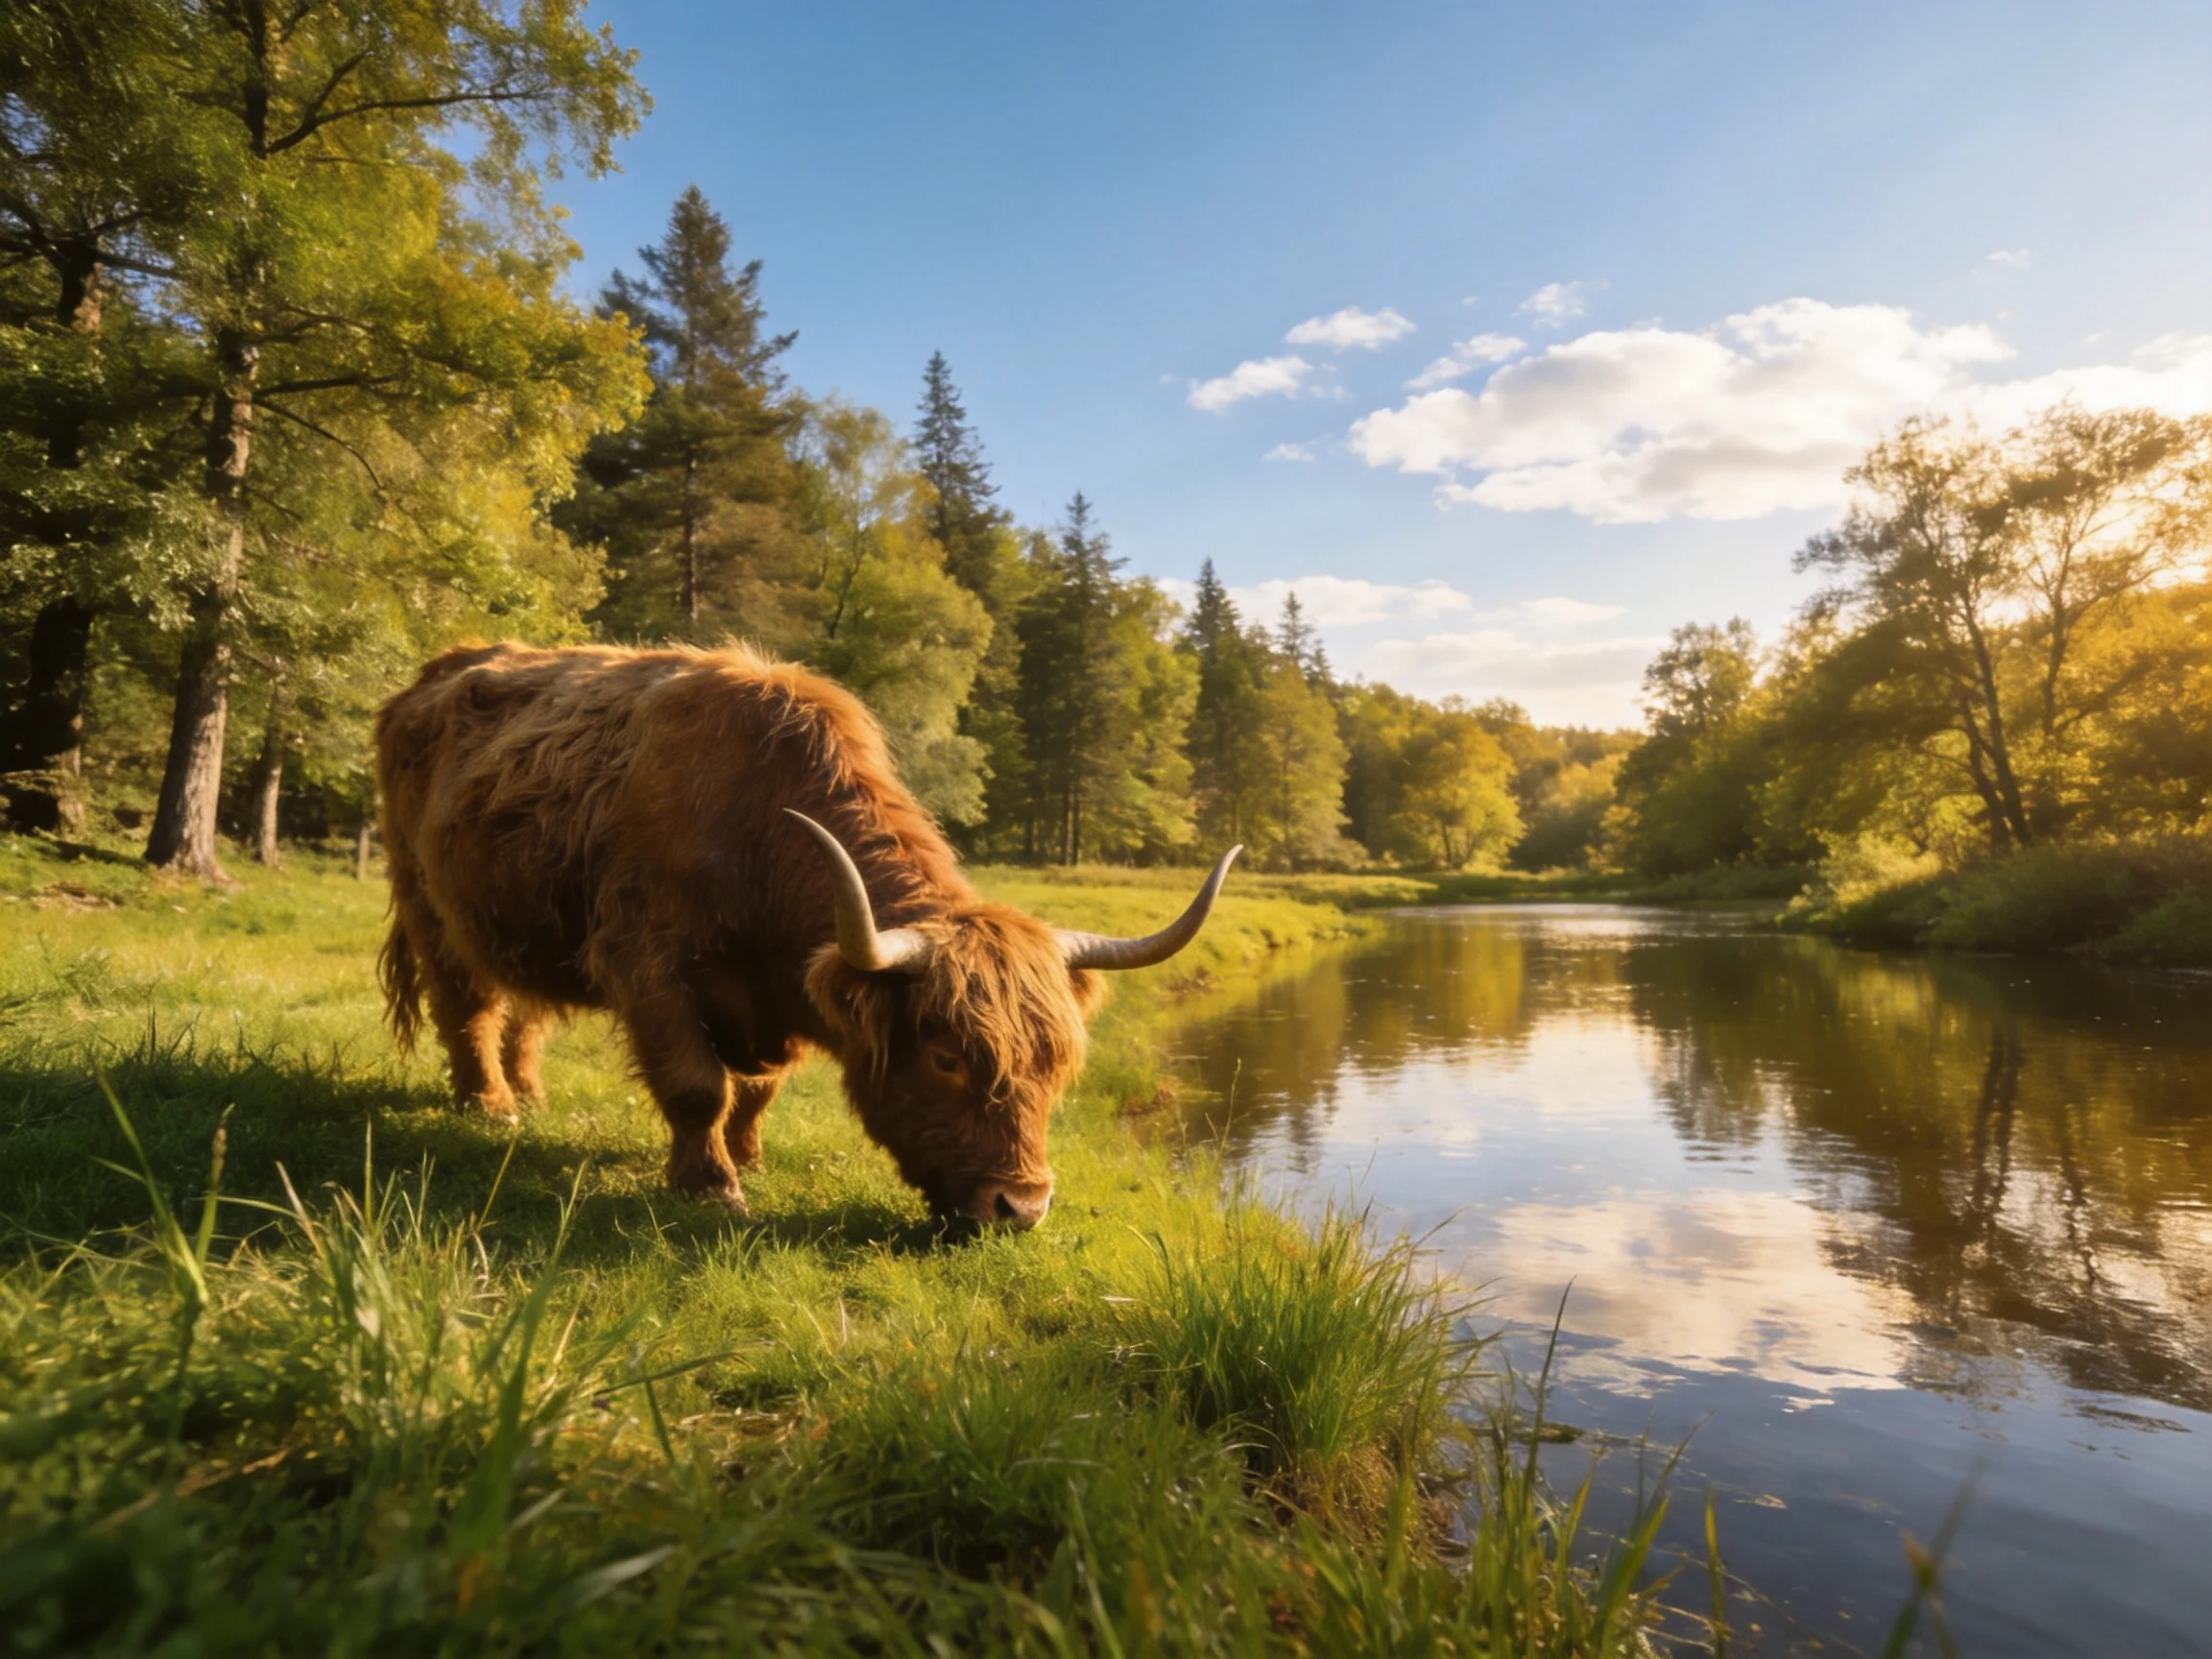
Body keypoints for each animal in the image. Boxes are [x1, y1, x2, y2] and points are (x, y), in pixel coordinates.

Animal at [372, 641, 1238, 1230]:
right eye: (948, 1056)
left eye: (1055, 1066)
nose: (1019, 1207)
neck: (754, 827)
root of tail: (429, 677)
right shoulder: (645, 962)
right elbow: (698, 1085)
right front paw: (711, 1186)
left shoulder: (775, 993)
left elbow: (758, 1088)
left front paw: (747, 1155)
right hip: (426, 902)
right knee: (467, 1007)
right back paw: (489, 1105)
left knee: (524, 1009)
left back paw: (529, 1091)